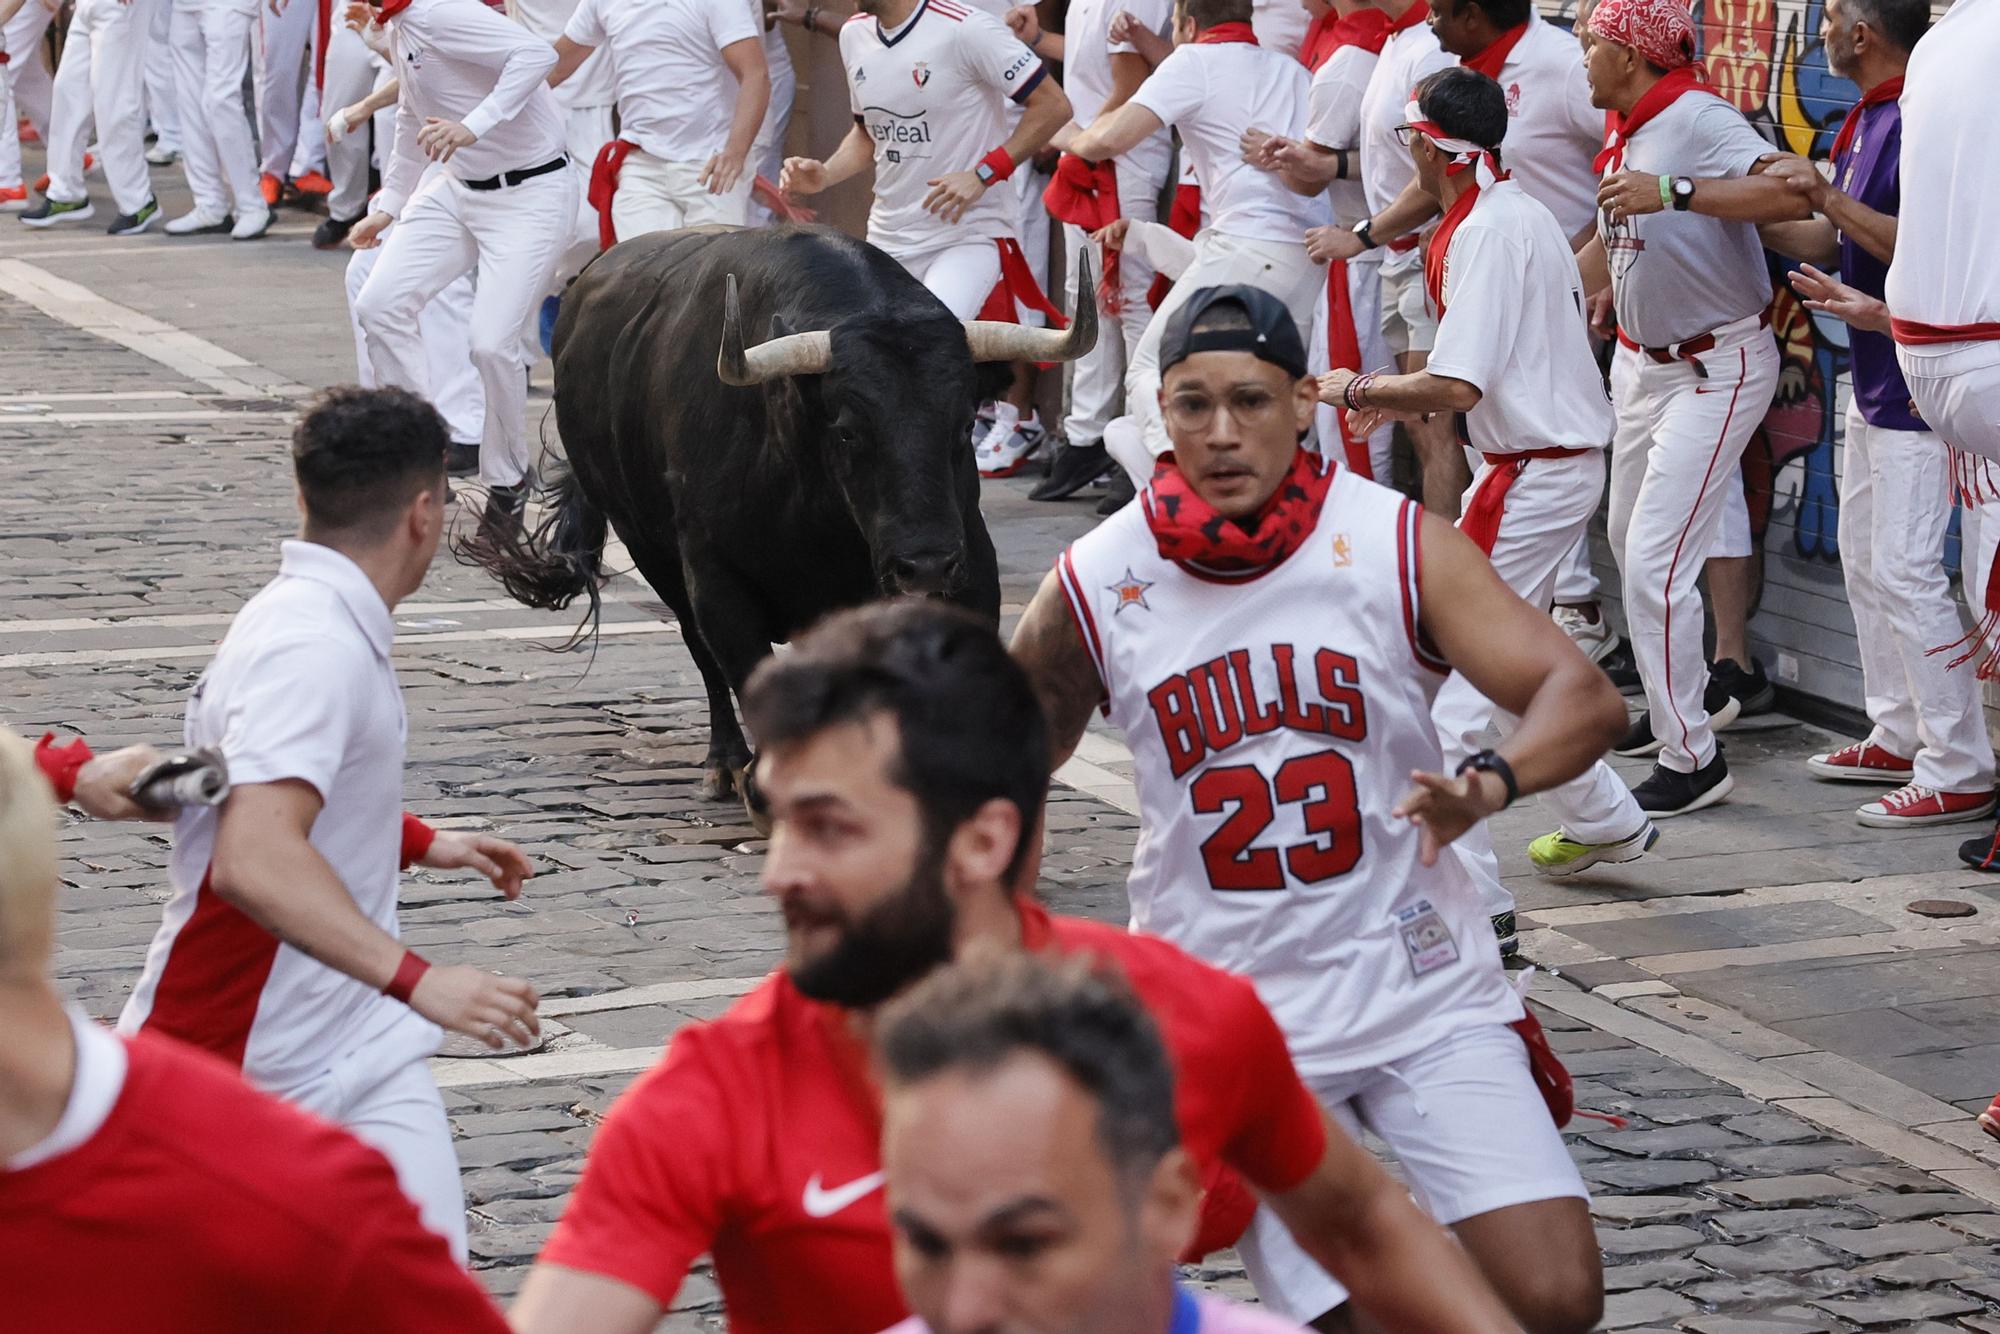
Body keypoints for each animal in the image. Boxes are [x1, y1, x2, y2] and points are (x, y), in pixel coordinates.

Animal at [460, 226, 1096, 808]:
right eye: (848, 430)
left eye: (965, 424)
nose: (927, 566)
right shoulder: (715, 577)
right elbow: (737, 663)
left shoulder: (972, 568)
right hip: (649, 546)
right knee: (701, 651)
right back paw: (724, 764)